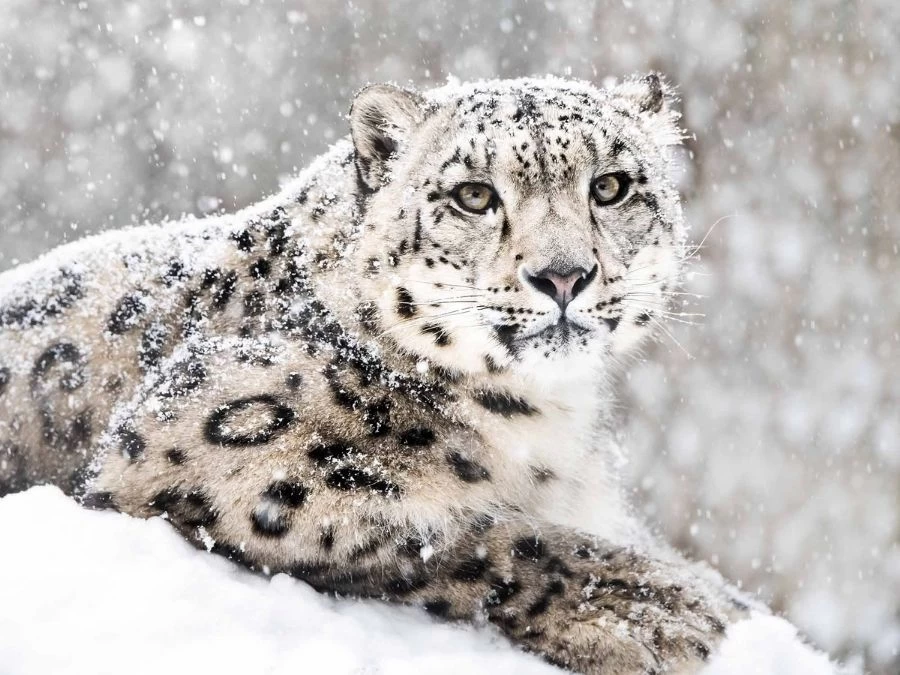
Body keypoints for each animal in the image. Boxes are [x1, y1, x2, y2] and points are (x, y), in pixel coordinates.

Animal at [0, 75, 755, 674]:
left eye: (611, 186)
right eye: (474, 195)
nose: (563, 274)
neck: (544, 422)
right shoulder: (204, 447)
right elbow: (456, 532)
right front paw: (653, 610)